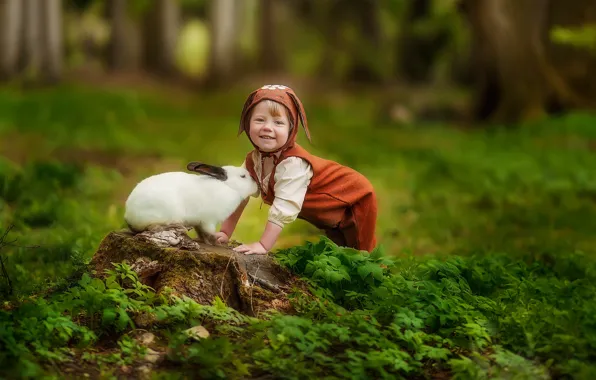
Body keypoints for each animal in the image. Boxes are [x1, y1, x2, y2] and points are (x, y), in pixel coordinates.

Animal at [124, 160, 258, 243]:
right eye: (243, 176)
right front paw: (216, 242)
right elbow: (209, 233)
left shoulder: (199, 222)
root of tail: (129, 216)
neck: (229, 186)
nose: (256, 185)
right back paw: (178, 227)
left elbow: (201, 233)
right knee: (152, 227)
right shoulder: (209, 220)